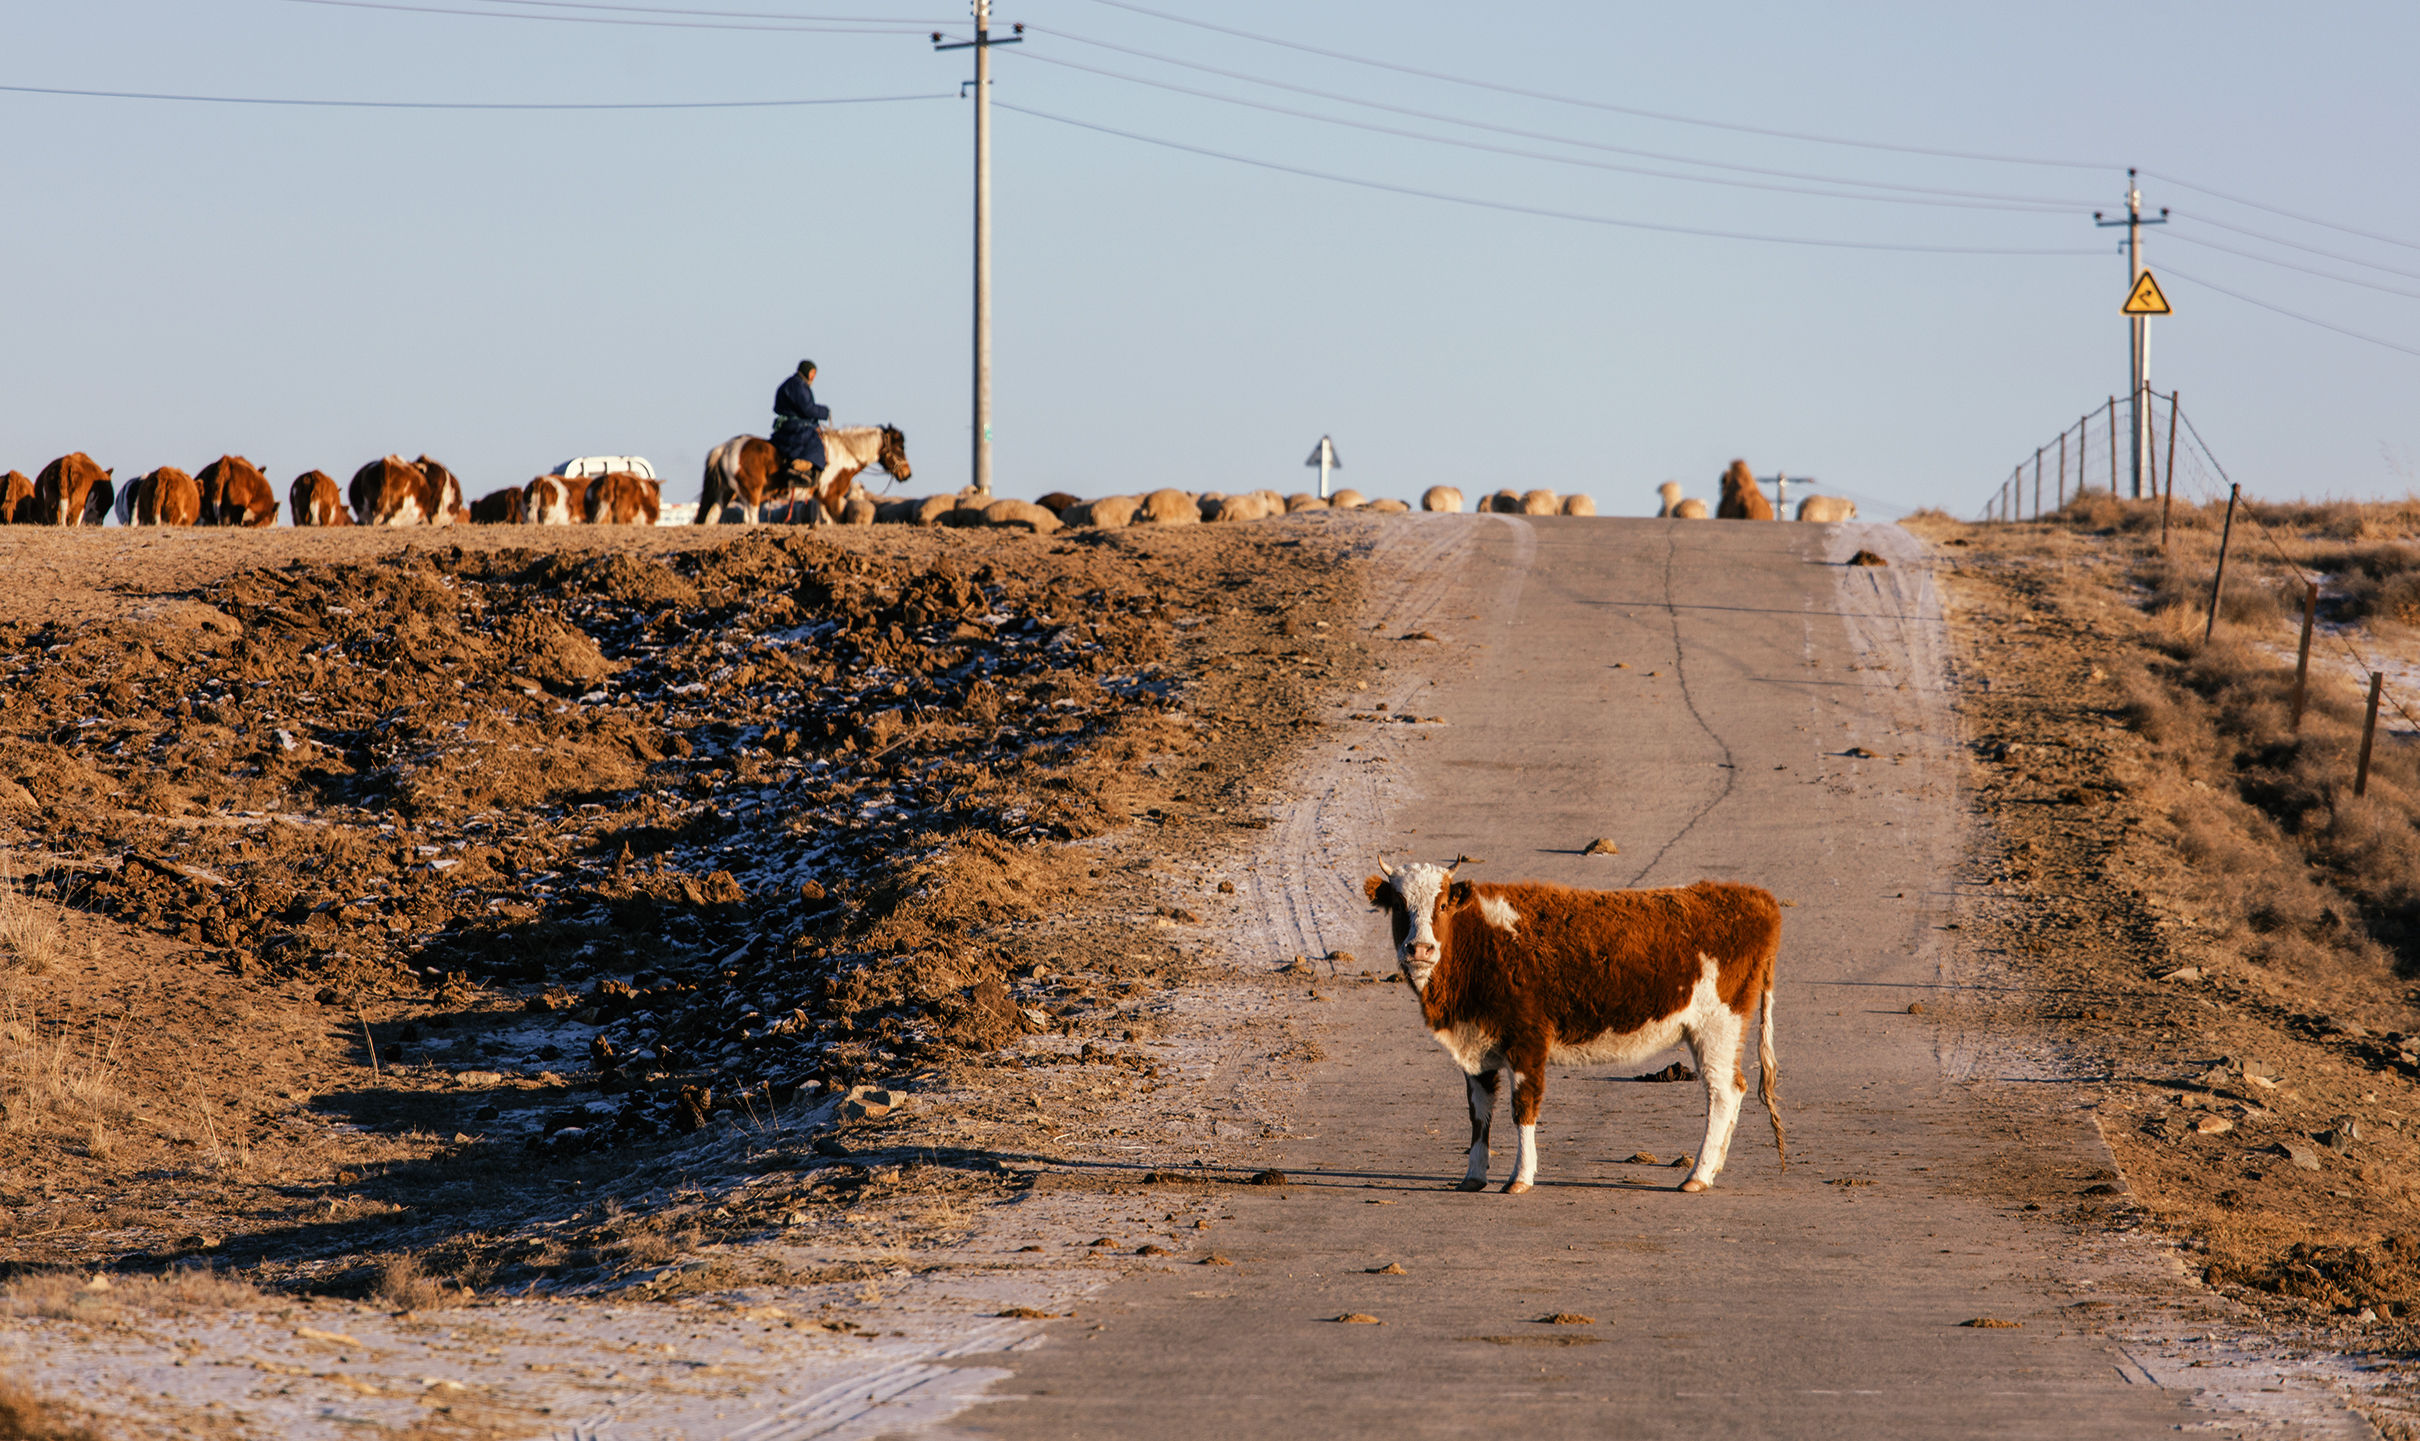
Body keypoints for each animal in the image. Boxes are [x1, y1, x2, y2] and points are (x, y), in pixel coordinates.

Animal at [696, 426, 909, 527]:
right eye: (899, 447)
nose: (907, 473)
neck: (843, 453)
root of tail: (725, 448)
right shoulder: (831, 495)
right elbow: (837, 520)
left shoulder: (821, 498)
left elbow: (827, 522)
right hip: (750, 493)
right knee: (750, 519)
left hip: (726, 493)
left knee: (712, 517)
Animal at [1374, 857, 1790, 1196]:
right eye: (1399, 905)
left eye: (1442, 904)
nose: (1420, 949)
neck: (1483, 942)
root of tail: (1753, 896)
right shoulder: (1476, 1047)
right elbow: (1479, 1111)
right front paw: (1473, 1176)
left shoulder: (1528, 1043)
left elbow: (1523, 1107)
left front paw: (1520, 1178)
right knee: (1734, 1089)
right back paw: (1712, 1169)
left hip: (1717, 1024)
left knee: (1722, 1091)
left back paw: (1697, 1176)